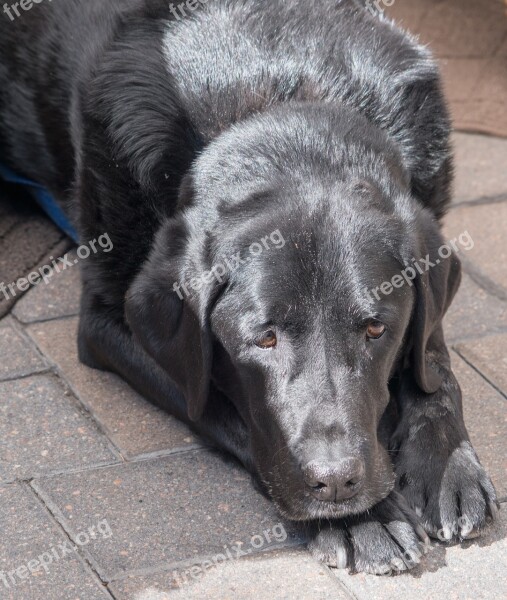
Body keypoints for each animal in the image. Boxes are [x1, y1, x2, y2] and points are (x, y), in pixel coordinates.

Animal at [0, 0, 498, 576]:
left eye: (376, 329)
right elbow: (221, 404)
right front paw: (364, 520)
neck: (283, 99)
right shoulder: (109, 321)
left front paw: (447, 467)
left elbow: (434, 366)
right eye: (263, 339)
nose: (337, 484)